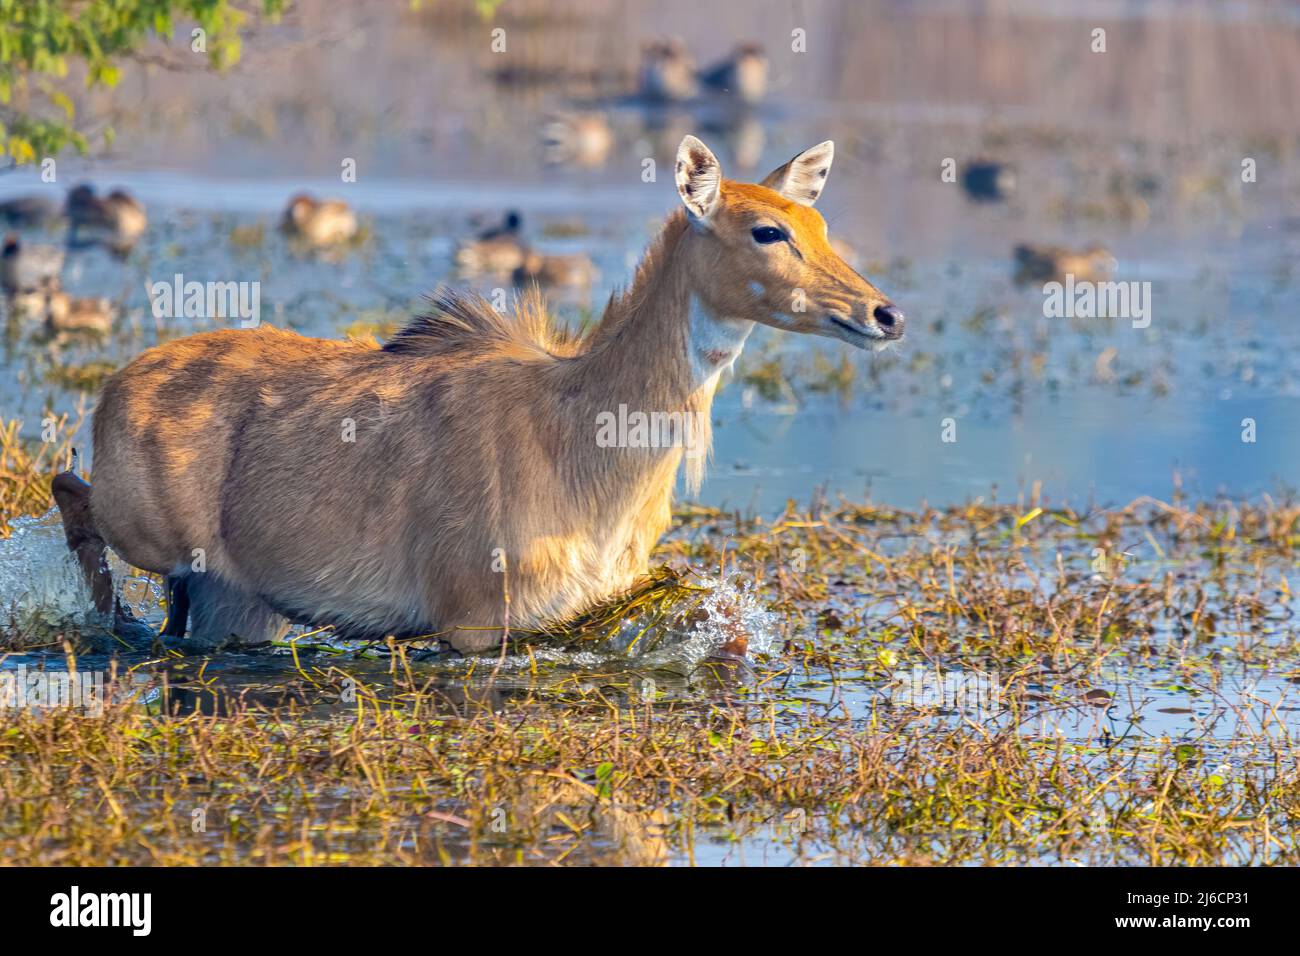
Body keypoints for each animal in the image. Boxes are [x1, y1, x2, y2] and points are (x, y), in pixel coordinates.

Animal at [53, 134, 904, 655]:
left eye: (818, 224)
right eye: (767, 230)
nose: (883, 314)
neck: (583, 435)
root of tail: (117, 388)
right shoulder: (470, 622)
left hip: (241, 602)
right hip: (150, 532)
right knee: (69, 485)